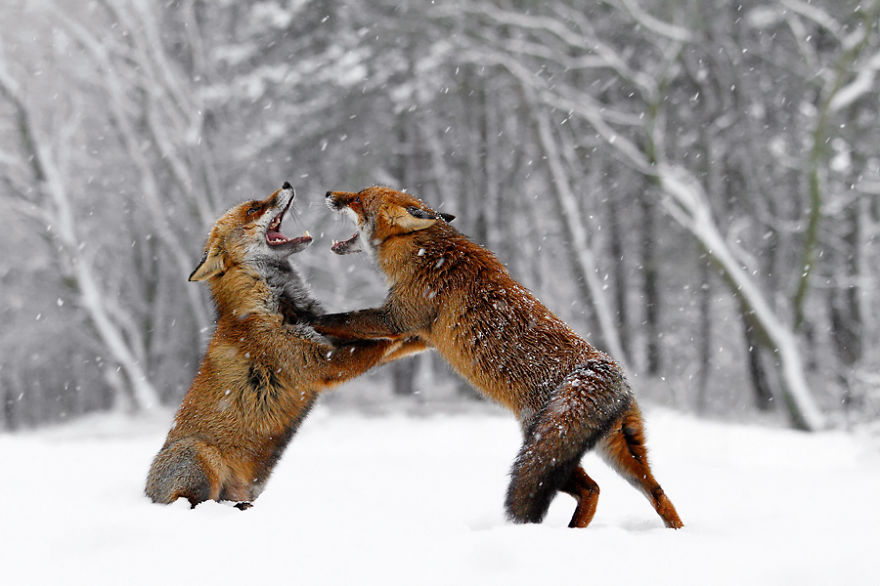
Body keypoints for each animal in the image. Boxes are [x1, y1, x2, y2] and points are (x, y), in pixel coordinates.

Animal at [145, 183, 423, 508]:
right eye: (253, 209)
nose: (287, 184)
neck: (277, 304)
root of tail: (146, 494)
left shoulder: (329, 338)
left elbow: (395, 344)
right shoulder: (322, 363)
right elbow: (382, 345)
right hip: (203, 457)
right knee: (194, 502)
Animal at [313, 185, 683, 529]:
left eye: (358, 198)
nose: (329, 192)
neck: (423, 253)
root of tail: (606, 370)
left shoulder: (397, 319)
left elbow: (341, 319)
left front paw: (304, 318)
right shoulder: (418, 335)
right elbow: (368, 345)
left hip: (544, 445)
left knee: (591, 489)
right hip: (619, 453)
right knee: (656, 492)